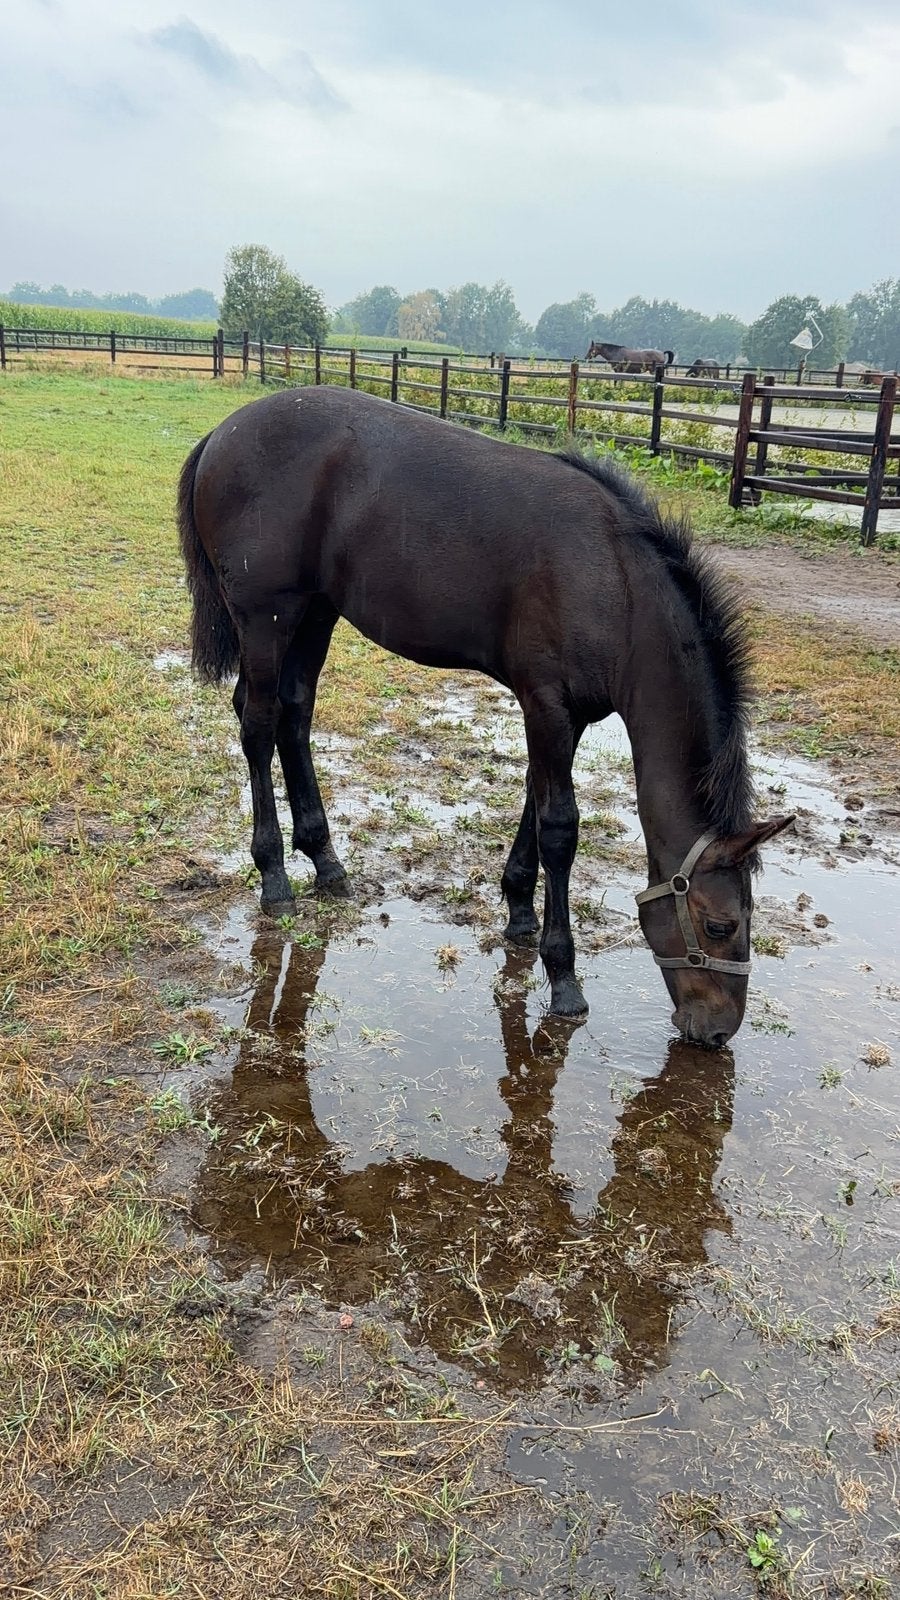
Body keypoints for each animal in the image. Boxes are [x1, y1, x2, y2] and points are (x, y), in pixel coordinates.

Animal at [178, 386, 793, 1047]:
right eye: (720, 926)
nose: (718, 1031)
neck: (613, 582)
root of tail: (222, 433)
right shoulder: (545, 704)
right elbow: (559, 829)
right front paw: (562, 974)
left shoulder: (566, 715)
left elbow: (534, 802)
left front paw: (519, 911)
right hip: (266, 620)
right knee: (258, 724)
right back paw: (275, 876)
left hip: (316, 613)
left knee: (295, 715)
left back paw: (325, 860)